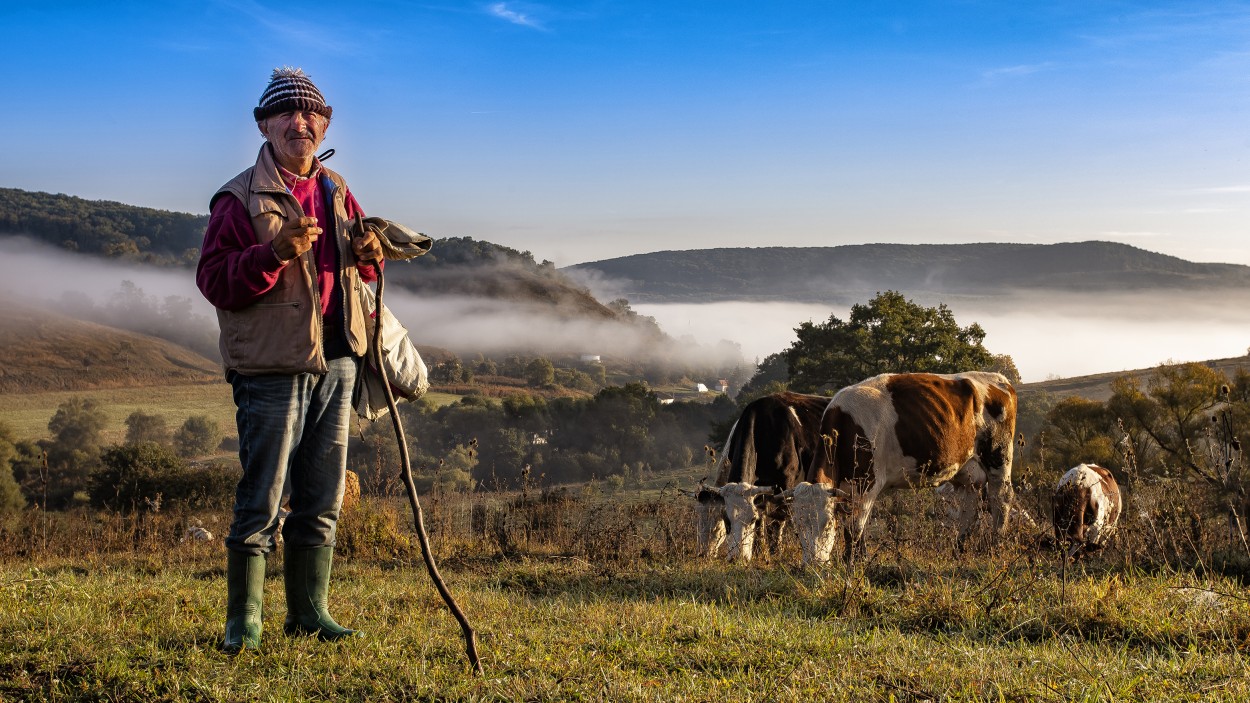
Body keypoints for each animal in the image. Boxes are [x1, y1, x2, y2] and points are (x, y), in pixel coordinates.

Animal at [685, 387, 830, 557]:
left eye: (716, 525)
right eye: (698, 521)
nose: (703, 554)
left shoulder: (784, 484)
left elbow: (776, 521)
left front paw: (775, 552)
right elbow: (761, 520)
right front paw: (759, 552)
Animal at [785, 372, 1020, 562]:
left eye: (826, 525)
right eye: (798, 525)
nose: (813, 564)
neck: (847, 426)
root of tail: (1000, 379)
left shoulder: (867, 484)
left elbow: (854, 529)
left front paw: (852, 562)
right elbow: (860, 526)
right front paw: (861, 558)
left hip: (999, 458)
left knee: (1001, 499)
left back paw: (995, 546)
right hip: (967, 472)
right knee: (969, 508)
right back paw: (958, 550)